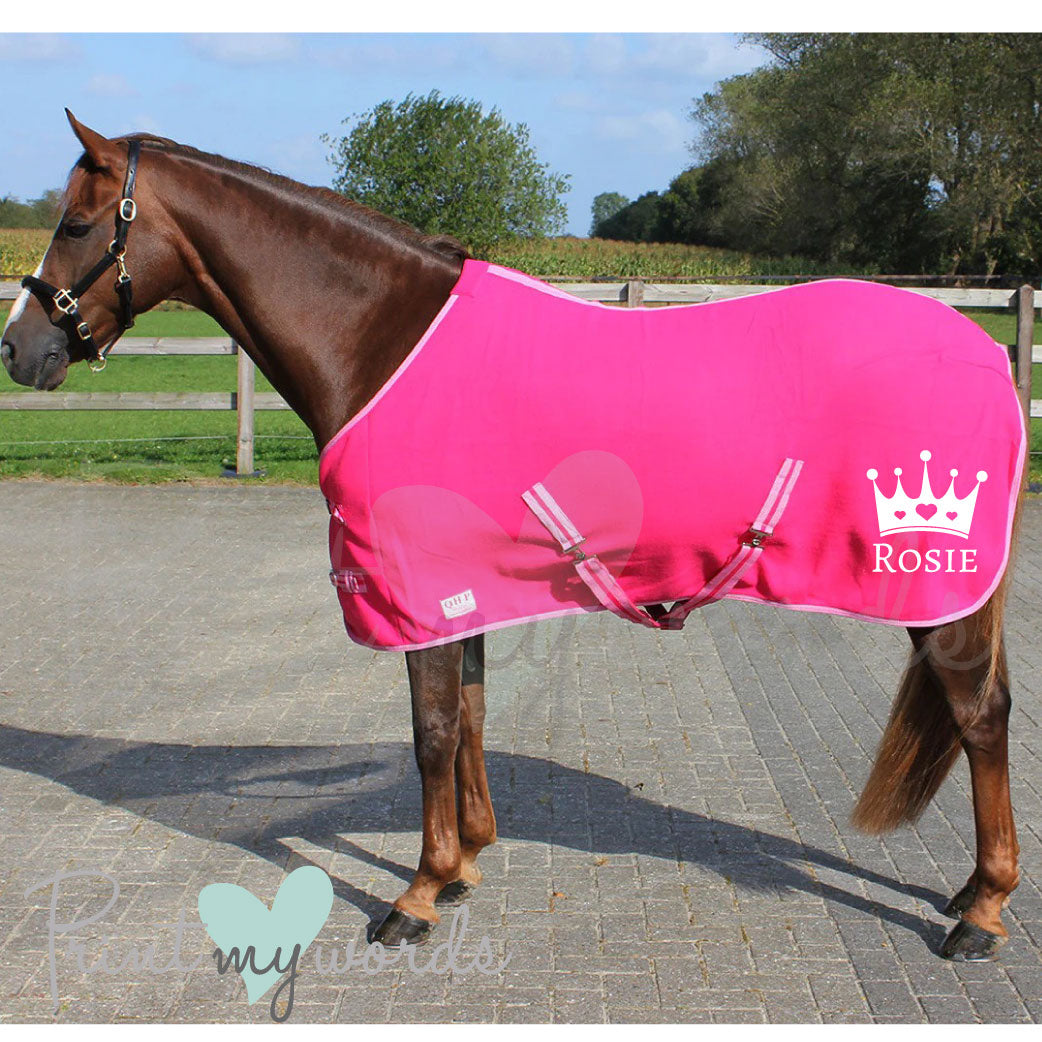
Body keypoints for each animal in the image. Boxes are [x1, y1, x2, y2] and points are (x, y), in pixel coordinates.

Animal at [1, 112, 1025, 963]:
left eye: (79, 224)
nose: (21, 350)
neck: (383, 339)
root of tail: (987, 351)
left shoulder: (410, 589)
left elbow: (430, 733)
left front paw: (414, 896)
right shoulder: (462, 591)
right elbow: (472, 719)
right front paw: (462, 867)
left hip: (934, 588)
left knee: (980, 718)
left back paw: (981, 913)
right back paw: (968, 893)